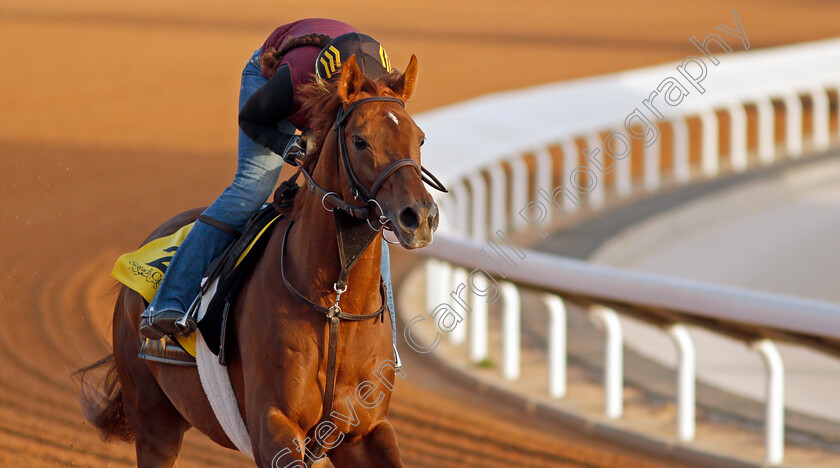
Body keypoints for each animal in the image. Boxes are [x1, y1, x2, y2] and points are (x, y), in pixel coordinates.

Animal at [77, 53, 440, 466]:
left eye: (419, 138)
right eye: (359, 140)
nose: (419, 216)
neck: (336, 305)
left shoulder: (363, 432)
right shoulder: (274, 427)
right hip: (154, 423)